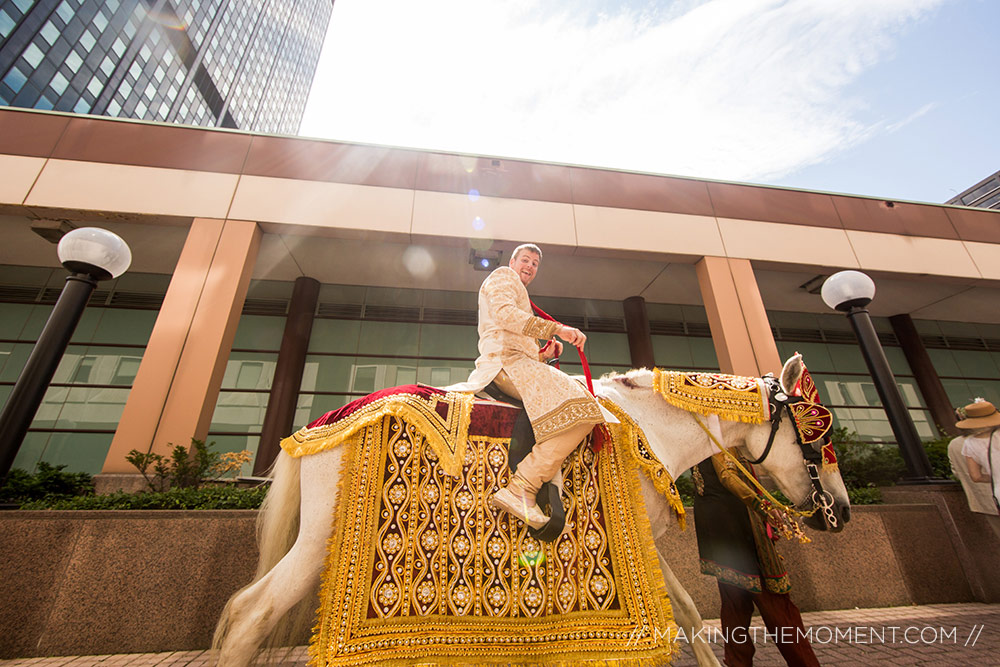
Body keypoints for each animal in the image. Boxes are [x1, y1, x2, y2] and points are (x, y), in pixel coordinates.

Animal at [213, 360, 852, 667]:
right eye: (819, 439)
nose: (842, 512)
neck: (649, 426)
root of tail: (327, 419)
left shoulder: (640, 538)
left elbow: (692, 613)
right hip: (321, 539)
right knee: (251, 613)